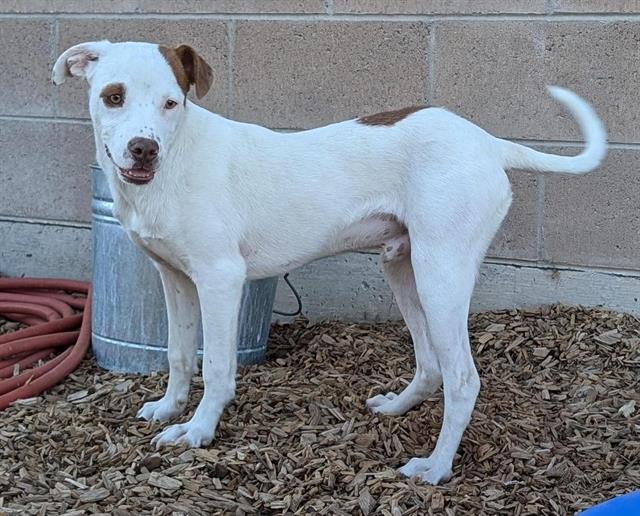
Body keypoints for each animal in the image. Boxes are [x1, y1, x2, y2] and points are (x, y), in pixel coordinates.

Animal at [51, 39, 604, 484]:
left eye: (172, 102)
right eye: (113, 96)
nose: (144, 149)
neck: (177, 159)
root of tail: (487, 142)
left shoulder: (220, 279)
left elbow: (219, 367)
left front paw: (199, 430)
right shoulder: (175, 278)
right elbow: (179, 354)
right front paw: (169, 409)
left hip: (441, 275)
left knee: (464, 379)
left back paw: (436, 468)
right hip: (403, 268)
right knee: (431, 366)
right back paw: (398, 407)